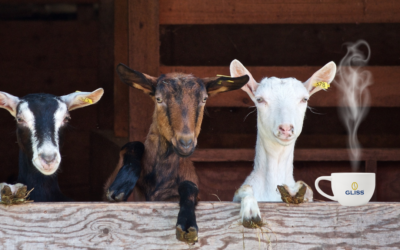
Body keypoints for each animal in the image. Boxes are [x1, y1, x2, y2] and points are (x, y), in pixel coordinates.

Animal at [104, 63, 248, 243]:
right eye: (158, 99)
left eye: (204, 99)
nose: (185, 143)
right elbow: (133, 145)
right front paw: (120, 186)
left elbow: (189, 186)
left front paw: (187, 224)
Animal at [230, 59, 336, 226]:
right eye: (259, 99)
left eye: (304, 99)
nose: (286, 128)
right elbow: (243, 189)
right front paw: (250, 212)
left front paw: (295, 191)